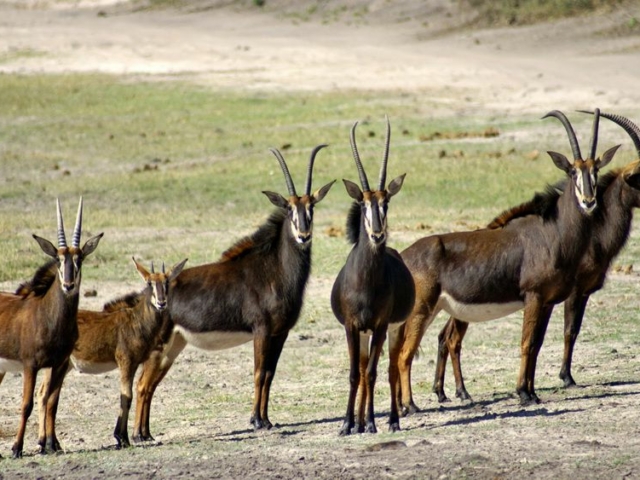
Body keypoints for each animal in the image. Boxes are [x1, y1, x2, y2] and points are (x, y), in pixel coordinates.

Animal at [0, 198, 102, 458]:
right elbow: (26, 404)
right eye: (58, 259)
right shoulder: (30, 365)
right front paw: (16, 448)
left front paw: (51, 445)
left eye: (79, 259)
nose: (68, 285)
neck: (50, 319)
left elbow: (51, 402)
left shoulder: (58, 364)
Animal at [37, 257, 187, 450]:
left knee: (45, 395)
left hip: (63, 366)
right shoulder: (126, 362)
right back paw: (49, 444)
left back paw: (49, 443)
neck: (136, 321)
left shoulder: (135, 363)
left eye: (167, 282)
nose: (161, 303)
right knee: (46, 395)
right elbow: (127, 396)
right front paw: (122, 438)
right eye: (149, 282)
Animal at [131, 145, 335, 441]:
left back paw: (145, 434)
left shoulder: (280, 333)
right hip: (160, 345)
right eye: (288, 208)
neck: (274, 269)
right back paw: (137, 435)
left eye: (312, 207)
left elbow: (270, 374)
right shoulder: (261, 330)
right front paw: (257, 420)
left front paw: (267, 419)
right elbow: (259, 372)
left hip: (174, 345)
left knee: (150, 384)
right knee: (142, 383)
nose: (303, 235)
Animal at [331, 118, 415, 435]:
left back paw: (388, 420)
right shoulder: (352, 326)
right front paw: (346, 424)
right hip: (365, 333)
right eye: (365, 204)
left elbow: (372, 373)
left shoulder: (379, 325)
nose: (377, 234)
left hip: (392, 330)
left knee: (389, 369)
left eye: (386, 203)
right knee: (365, 369)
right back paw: (358, 422)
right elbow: (356, 374)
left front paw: (370, 423)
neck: (365, 283)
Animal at [389, 110, 619, 414]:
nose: (589, 201)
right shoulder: (533, 296)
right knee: (405, 354)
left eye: (596, 171)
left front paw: (532, 392)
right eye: (572, 171)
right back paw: (411, 406)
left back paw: (406, 405)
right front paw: (523, 393)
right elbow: (526, 343)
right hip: (421, 310)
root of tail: (404, 256)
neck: (553, 232)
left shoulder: (547, 301)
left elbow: (537, 344)